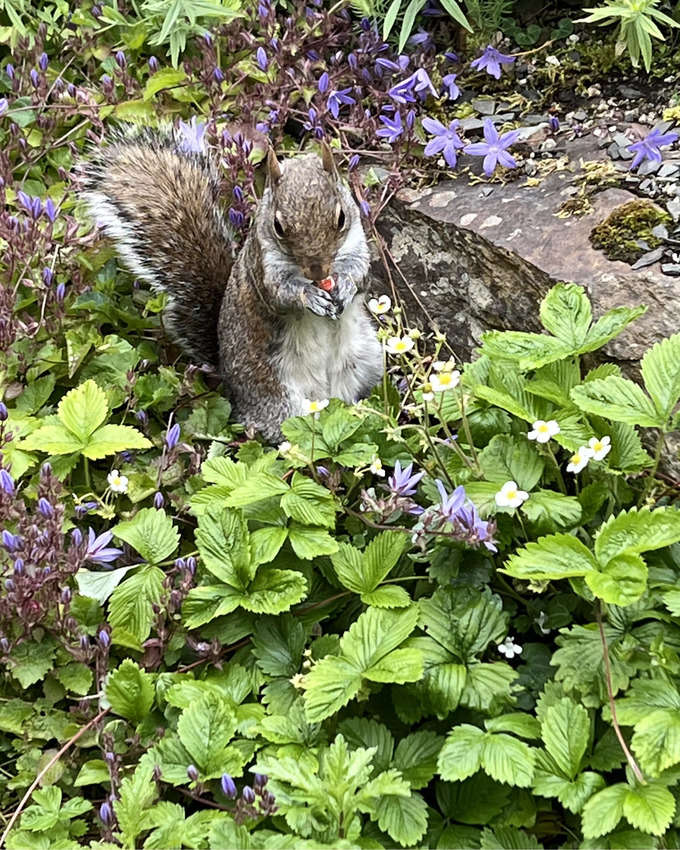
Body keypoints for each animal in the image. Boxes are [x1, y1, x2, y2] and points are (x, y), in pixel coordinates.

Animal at [81, 131, 382, 444]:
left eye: (341, 218)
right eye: (278, 226)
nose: (318, 271)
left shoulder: (360, 247)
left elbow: (361, 275)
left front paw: (345, 287)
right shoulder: (262, 269)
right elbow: (280, 295)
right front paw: (309, 297)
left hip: (369, 361)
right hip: (280, 399)